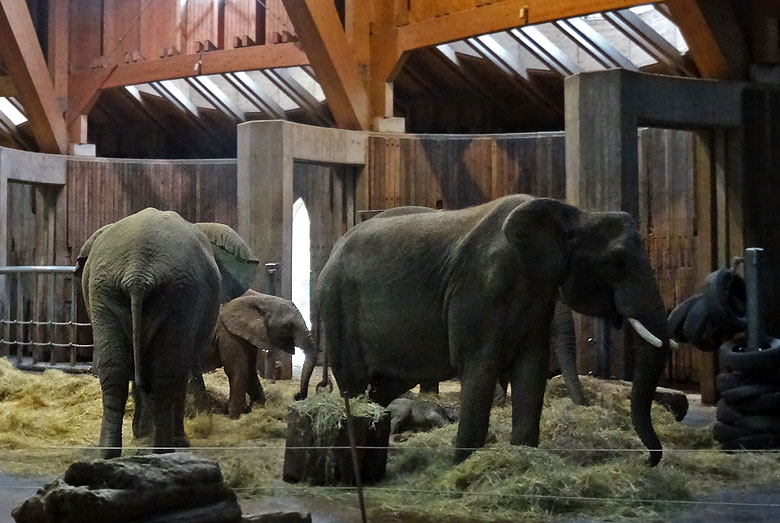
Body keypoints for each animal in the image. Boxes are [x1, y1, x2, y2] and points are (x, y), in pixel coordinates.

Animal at [77, 209, 258, 458]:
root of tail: (137, 272)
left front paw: (141, 437)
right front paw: (170, 440)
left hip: (107, 291)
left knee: (116, 371)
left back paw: (109, 453)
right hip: (179, 294)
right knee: (167, 374)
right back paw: (164, 450)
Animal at [200, 288, 316, 420]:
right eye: (288, 326)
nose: (297, 396)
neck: (259, 298)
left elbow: (250, 371)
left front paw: (255, 408)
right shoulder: (228, 333)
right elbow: (238, 369)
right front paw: (235, 417)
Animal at [314, 195, 672, 466]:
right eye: (616, 262)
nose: (649, 461)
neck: (575, 214)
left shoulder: (535, 300)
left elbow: (531, 371)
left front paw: (521, 459)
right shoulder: (480, 289)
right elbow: (480, 369)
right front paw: (461, 470)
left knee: (381, 391)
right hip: (337, 307)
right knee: (355, 386)